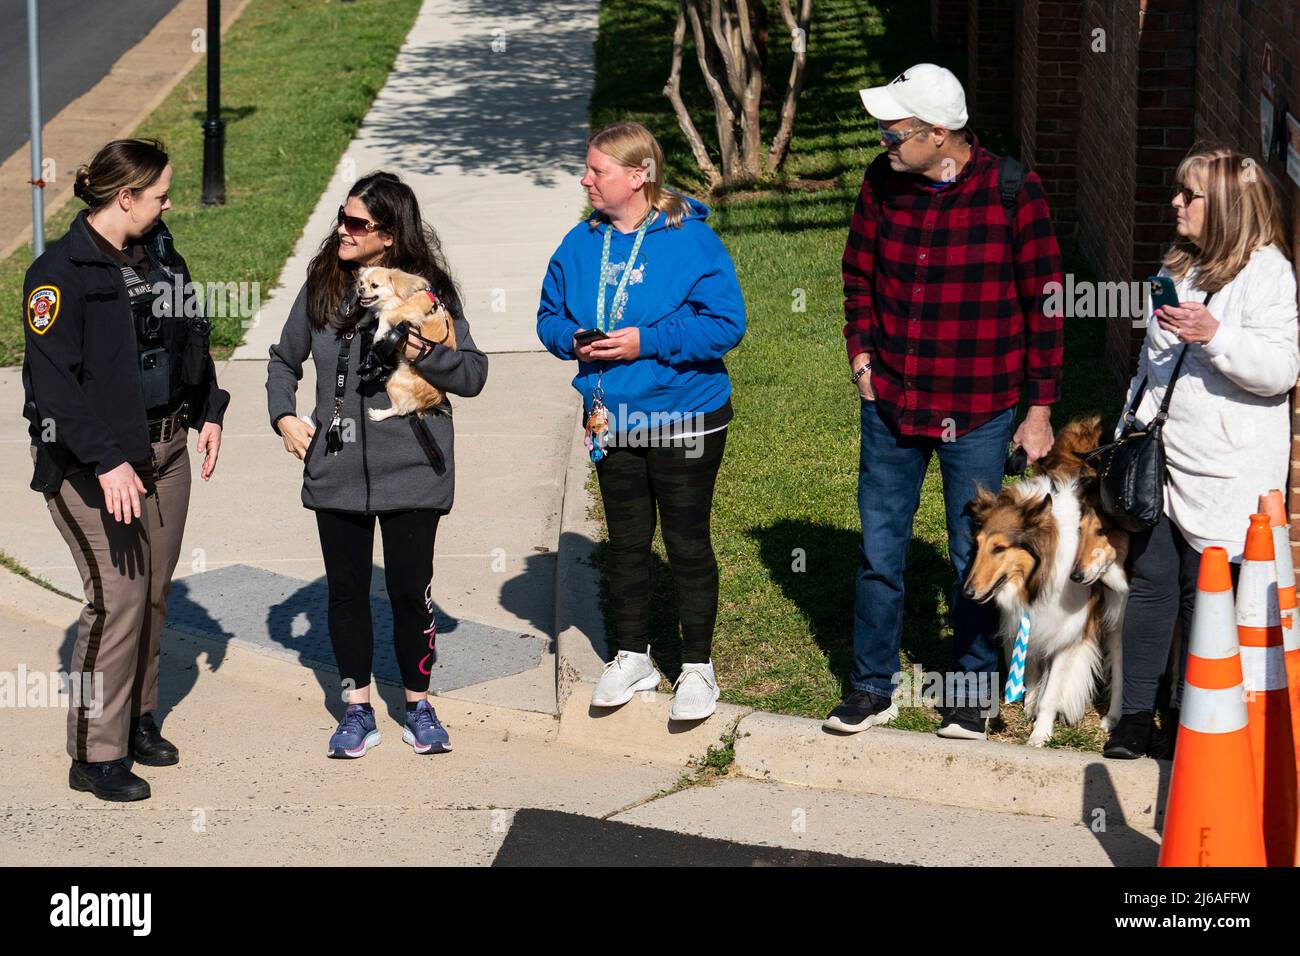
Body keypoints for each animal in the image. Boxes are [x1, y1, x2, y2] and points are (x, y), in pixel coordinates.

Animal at [356, 267, 457, 421]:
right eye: (361, 283)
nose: (360, 289)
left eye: (374, 285)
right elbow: (371, 311)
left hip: (393, 383)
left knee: (400, 410)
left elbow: (385, 315)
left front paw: (379, 333)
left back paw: (378, 415)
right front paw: (362, 321)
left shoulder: (409, 311)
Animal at [967, 418, 1128, 749]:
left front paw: (1040, 733)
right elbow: (1029, 667)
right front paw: (1028, 701)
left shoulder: (1069, 633)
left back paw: (1114, 717)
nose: (968, 592)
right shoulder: (1027, 619)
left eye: (999, 548)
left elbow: (1051, 692)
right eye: (977, 545)